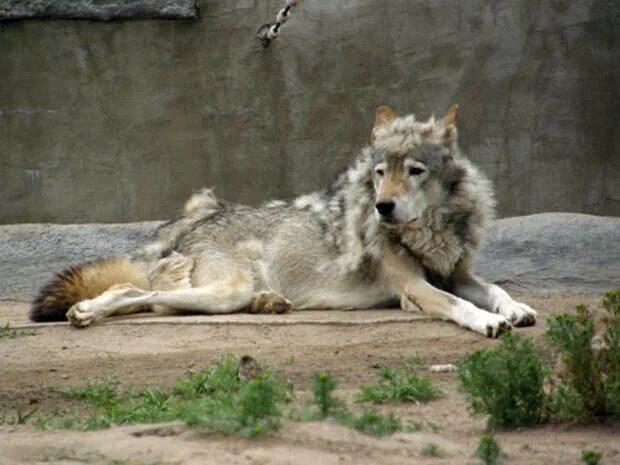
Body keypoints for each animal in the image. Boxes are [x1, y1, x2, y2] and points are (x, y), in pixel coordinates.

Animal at [29, 105, 536, 338]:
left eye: (414, 170)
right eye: (378, 173)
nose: (383, 208)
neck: (429, 230)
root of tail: (191, 225)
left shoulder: (457, 273)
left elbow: (495, 289)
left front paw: (515, 309)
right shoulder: (416, 289)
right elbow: (460, 306)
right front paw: (488, 322)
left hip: (221, 294)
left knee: (152, 300)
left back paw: (268, 303)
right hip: (225, 290)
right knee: (139, 294)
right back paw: (86, 311)